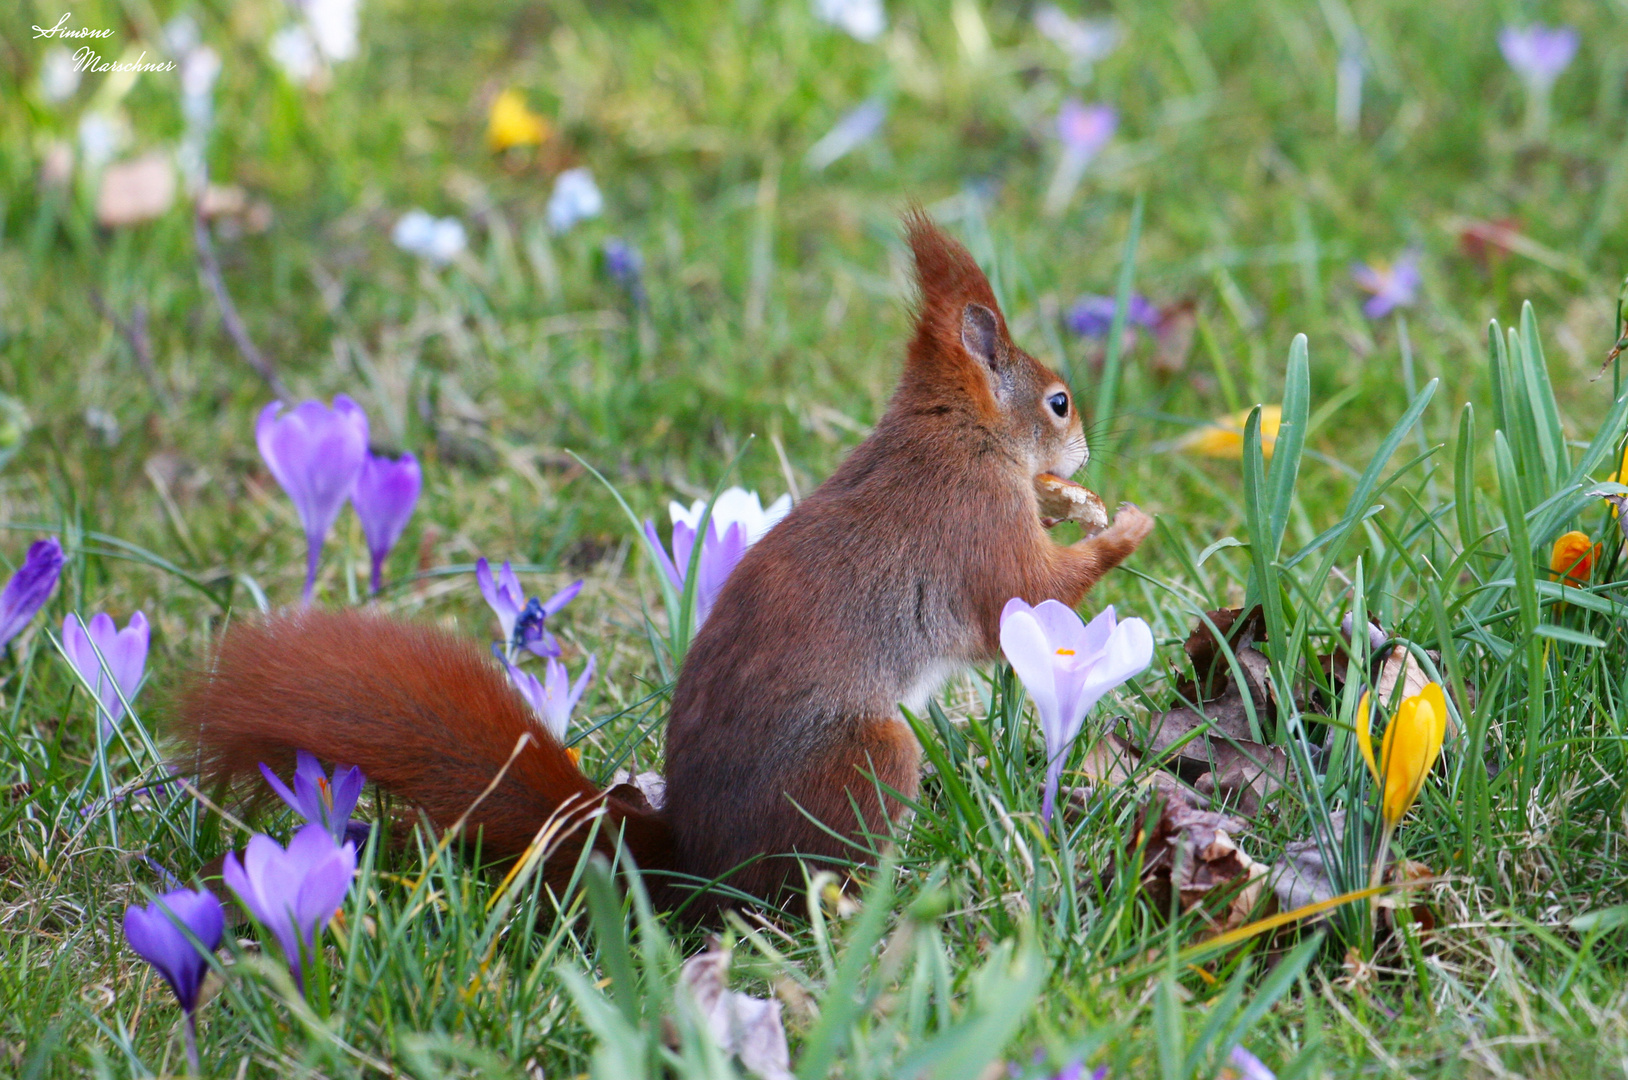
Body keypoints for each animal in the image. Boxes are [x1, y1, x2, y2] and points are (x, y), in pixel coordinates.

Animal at [171, 218, 1152, 912]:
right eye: (1059, 401)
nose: (1087, 450)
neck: (955, 430)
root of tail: (690, 861)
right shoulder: (974, 524)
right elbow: (1029, 592)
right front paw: (1126, 525)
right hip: (866, 761)